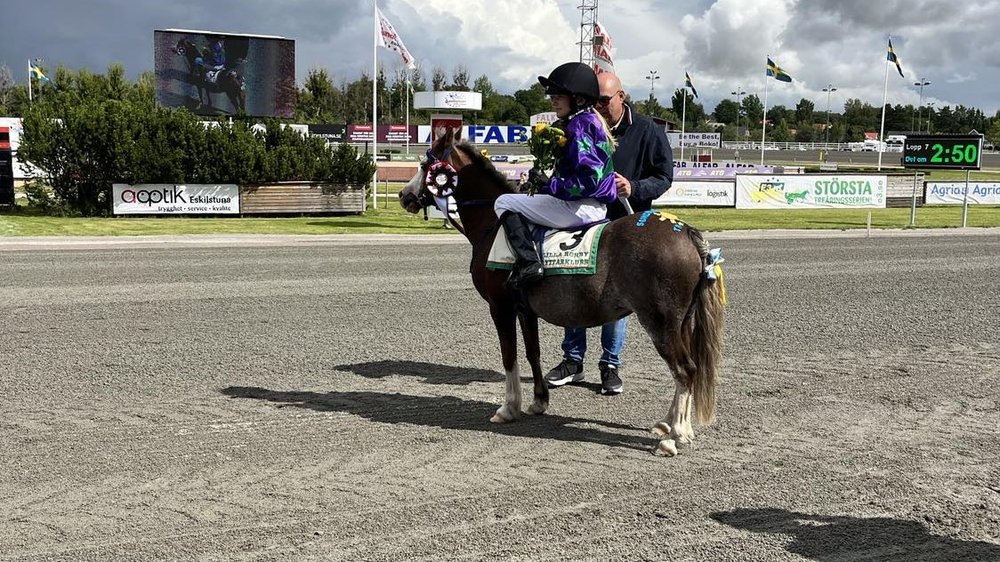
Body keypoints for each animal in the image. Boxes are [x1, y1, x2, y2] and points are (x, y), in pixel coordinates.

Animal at [398, 128, 728, 456]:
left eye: (425, 164)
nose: (404, 195)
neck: (493, 224)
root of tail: (685, 231)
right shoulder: (524, 309)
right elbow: (532, 353)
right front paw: (538, 401)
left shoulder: (500, 307)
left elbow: (509, 356)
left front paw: (508, 408)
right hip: (681, 322)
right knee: (687, 369)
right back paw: (670, 425)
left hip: (661, 322)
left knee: (685, 369)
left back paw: (674, 437)